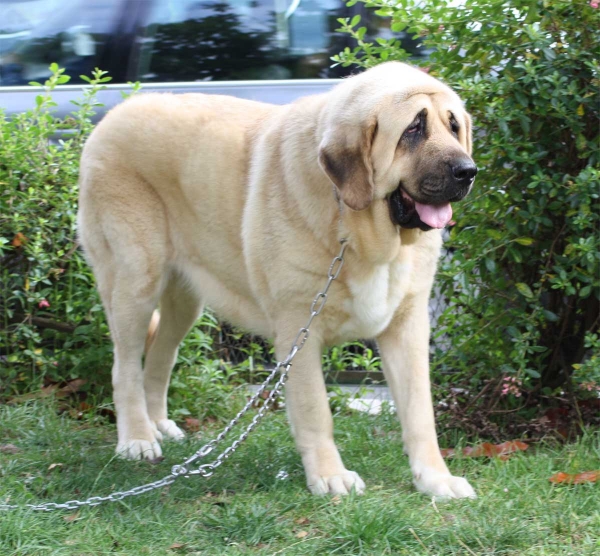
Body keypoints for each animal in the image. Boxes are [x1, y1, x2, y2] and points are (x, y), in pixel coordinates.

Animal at [76, 63, 478, 498]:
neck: (357, 231)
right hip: (136, 281)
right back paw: (137, 438)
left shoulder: (407, 327)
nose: (468, 171)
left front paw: (436, 480)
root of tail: (113, 116)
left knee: (160, 358)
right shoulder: (299, 330)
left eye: (453, 126)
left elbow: (420, 414)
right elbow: (316, 410)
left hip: (184, 300)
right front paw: (330, 476)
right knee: (126, 366)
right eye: (413, 129)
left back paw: (159, 426)